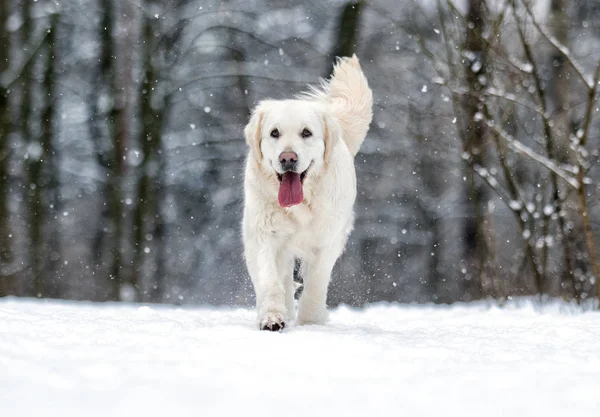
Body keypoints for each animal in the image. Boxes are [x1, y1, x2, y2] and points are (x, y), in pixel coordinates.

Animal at [241, 55, 372, 330]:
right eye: (274, 133)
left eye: (306, 133)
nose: (288, 158)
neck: (300, 205)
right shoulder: (262, 234)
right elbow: (269, 279)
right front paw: (272, 317)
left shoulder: (328, 240)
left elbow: (316, 283)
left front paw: (310, 322)